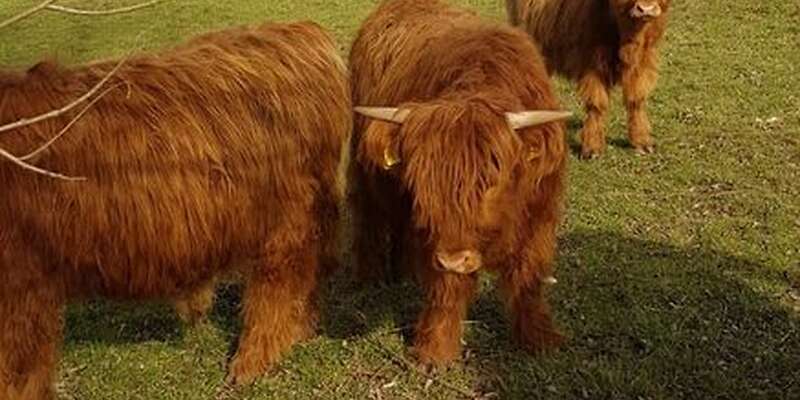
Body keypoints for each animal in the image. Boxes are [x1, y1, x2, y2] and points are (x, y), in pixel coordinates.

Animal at [0, 21, 351, 399]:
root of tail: (303, 32)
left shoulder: (22, 285)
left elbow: (17, 370)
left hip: (288, 220)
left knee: (278, 284)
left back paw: (249, 363)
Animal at [348, 0, 570, 365]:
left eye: (492, 180)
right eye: (423, 183)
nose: (454, 259)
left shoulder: (540, 215)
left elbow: (529, 277)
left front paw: (540, 338)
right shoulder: (442, 238)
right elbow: (447, 288)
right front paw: (435, 350)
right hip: (364, 168)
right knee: (369, 216)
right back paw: (370, 276)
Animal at [507, 0, 670, 158]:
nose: (645, 9)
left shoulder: (643, 61)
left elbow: (636, 100)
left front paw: (642, 142)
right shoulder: (592, 64)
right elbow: (596, 104)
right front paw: (592, 148)